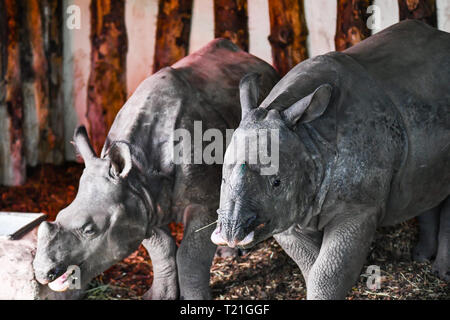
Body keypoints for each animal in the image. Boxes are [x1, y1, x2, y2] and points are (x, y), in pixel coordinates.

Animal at [32, 39, 278, 300]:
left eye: (89, 230)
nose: (42, 272)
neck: (138, 171)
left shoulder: (204, 203)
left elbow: (190, 254)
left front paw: (196, 299)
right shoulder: (141, 201)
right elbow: (163, 250)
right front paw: (159, 296)